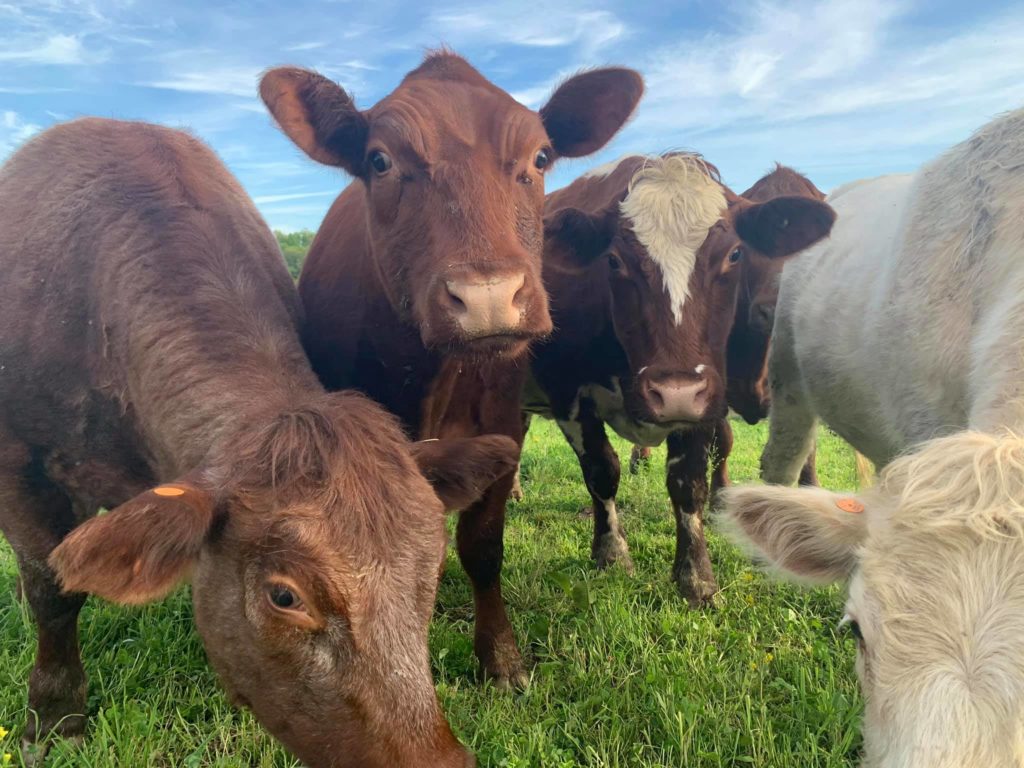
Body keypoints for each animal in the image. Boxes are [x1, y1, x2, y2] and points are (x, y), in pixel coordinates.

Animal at [0, 118, 519, 768]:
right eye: (284, 597)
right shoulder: (19, 465)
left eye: (430, 571)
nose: (435, 761)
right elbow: (53, 592)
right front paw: (53, 717)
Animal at [260, 52, 643, 687]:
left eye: (540, 157)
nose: (489, 296)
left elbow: (483, 546)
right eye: (380, 160)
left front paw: (501, 657)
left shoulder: (503, 429)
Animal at [526, 153, 836, 605]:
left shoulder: (703, 398)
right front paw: (611, 555)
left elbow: (689, 482)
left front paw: (696, 579)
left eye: (735, 254)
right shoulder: (566, 391)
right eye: (613, 260)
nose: (672, 393)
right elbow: (602, 471)